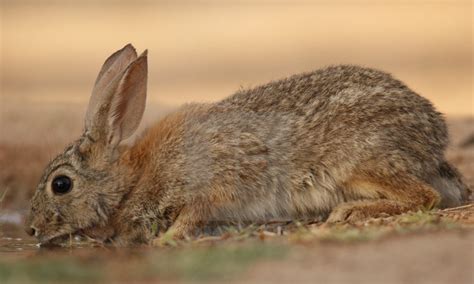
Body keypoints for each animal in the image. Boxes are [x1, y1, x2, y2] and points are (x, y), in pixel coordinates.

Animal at [25, 43, 470, 245]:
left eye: (61, 184)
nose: (30, 229)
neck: (131, 181)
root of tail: (434, 136)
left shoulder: (208, 184)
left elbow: (194, 213)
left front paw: (166, 239)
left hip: (358, 162)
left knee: (425, 196)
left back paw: (349, 212)